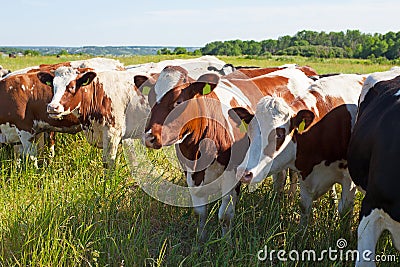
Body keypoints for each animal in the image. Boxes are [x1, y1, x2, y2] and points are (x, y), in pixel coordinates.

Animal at [142, 66, 314, 241]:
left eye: (179, 101)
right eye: (150, 99)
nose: (149, 137)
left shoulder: (234, 173)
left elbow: (225, 215)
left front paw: (226, 243)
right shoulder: (191, 174)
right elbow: (200, 213)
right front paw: (201, 240)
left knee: (293, 175)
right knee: (280, 178)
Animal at [231, 73, 366, 226]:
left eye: (279, 134)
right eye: (250, 133)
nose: (244, 173)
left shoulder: (349, 181)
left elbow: (345, 212)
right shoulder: (305, 174)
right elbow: (304, 207)